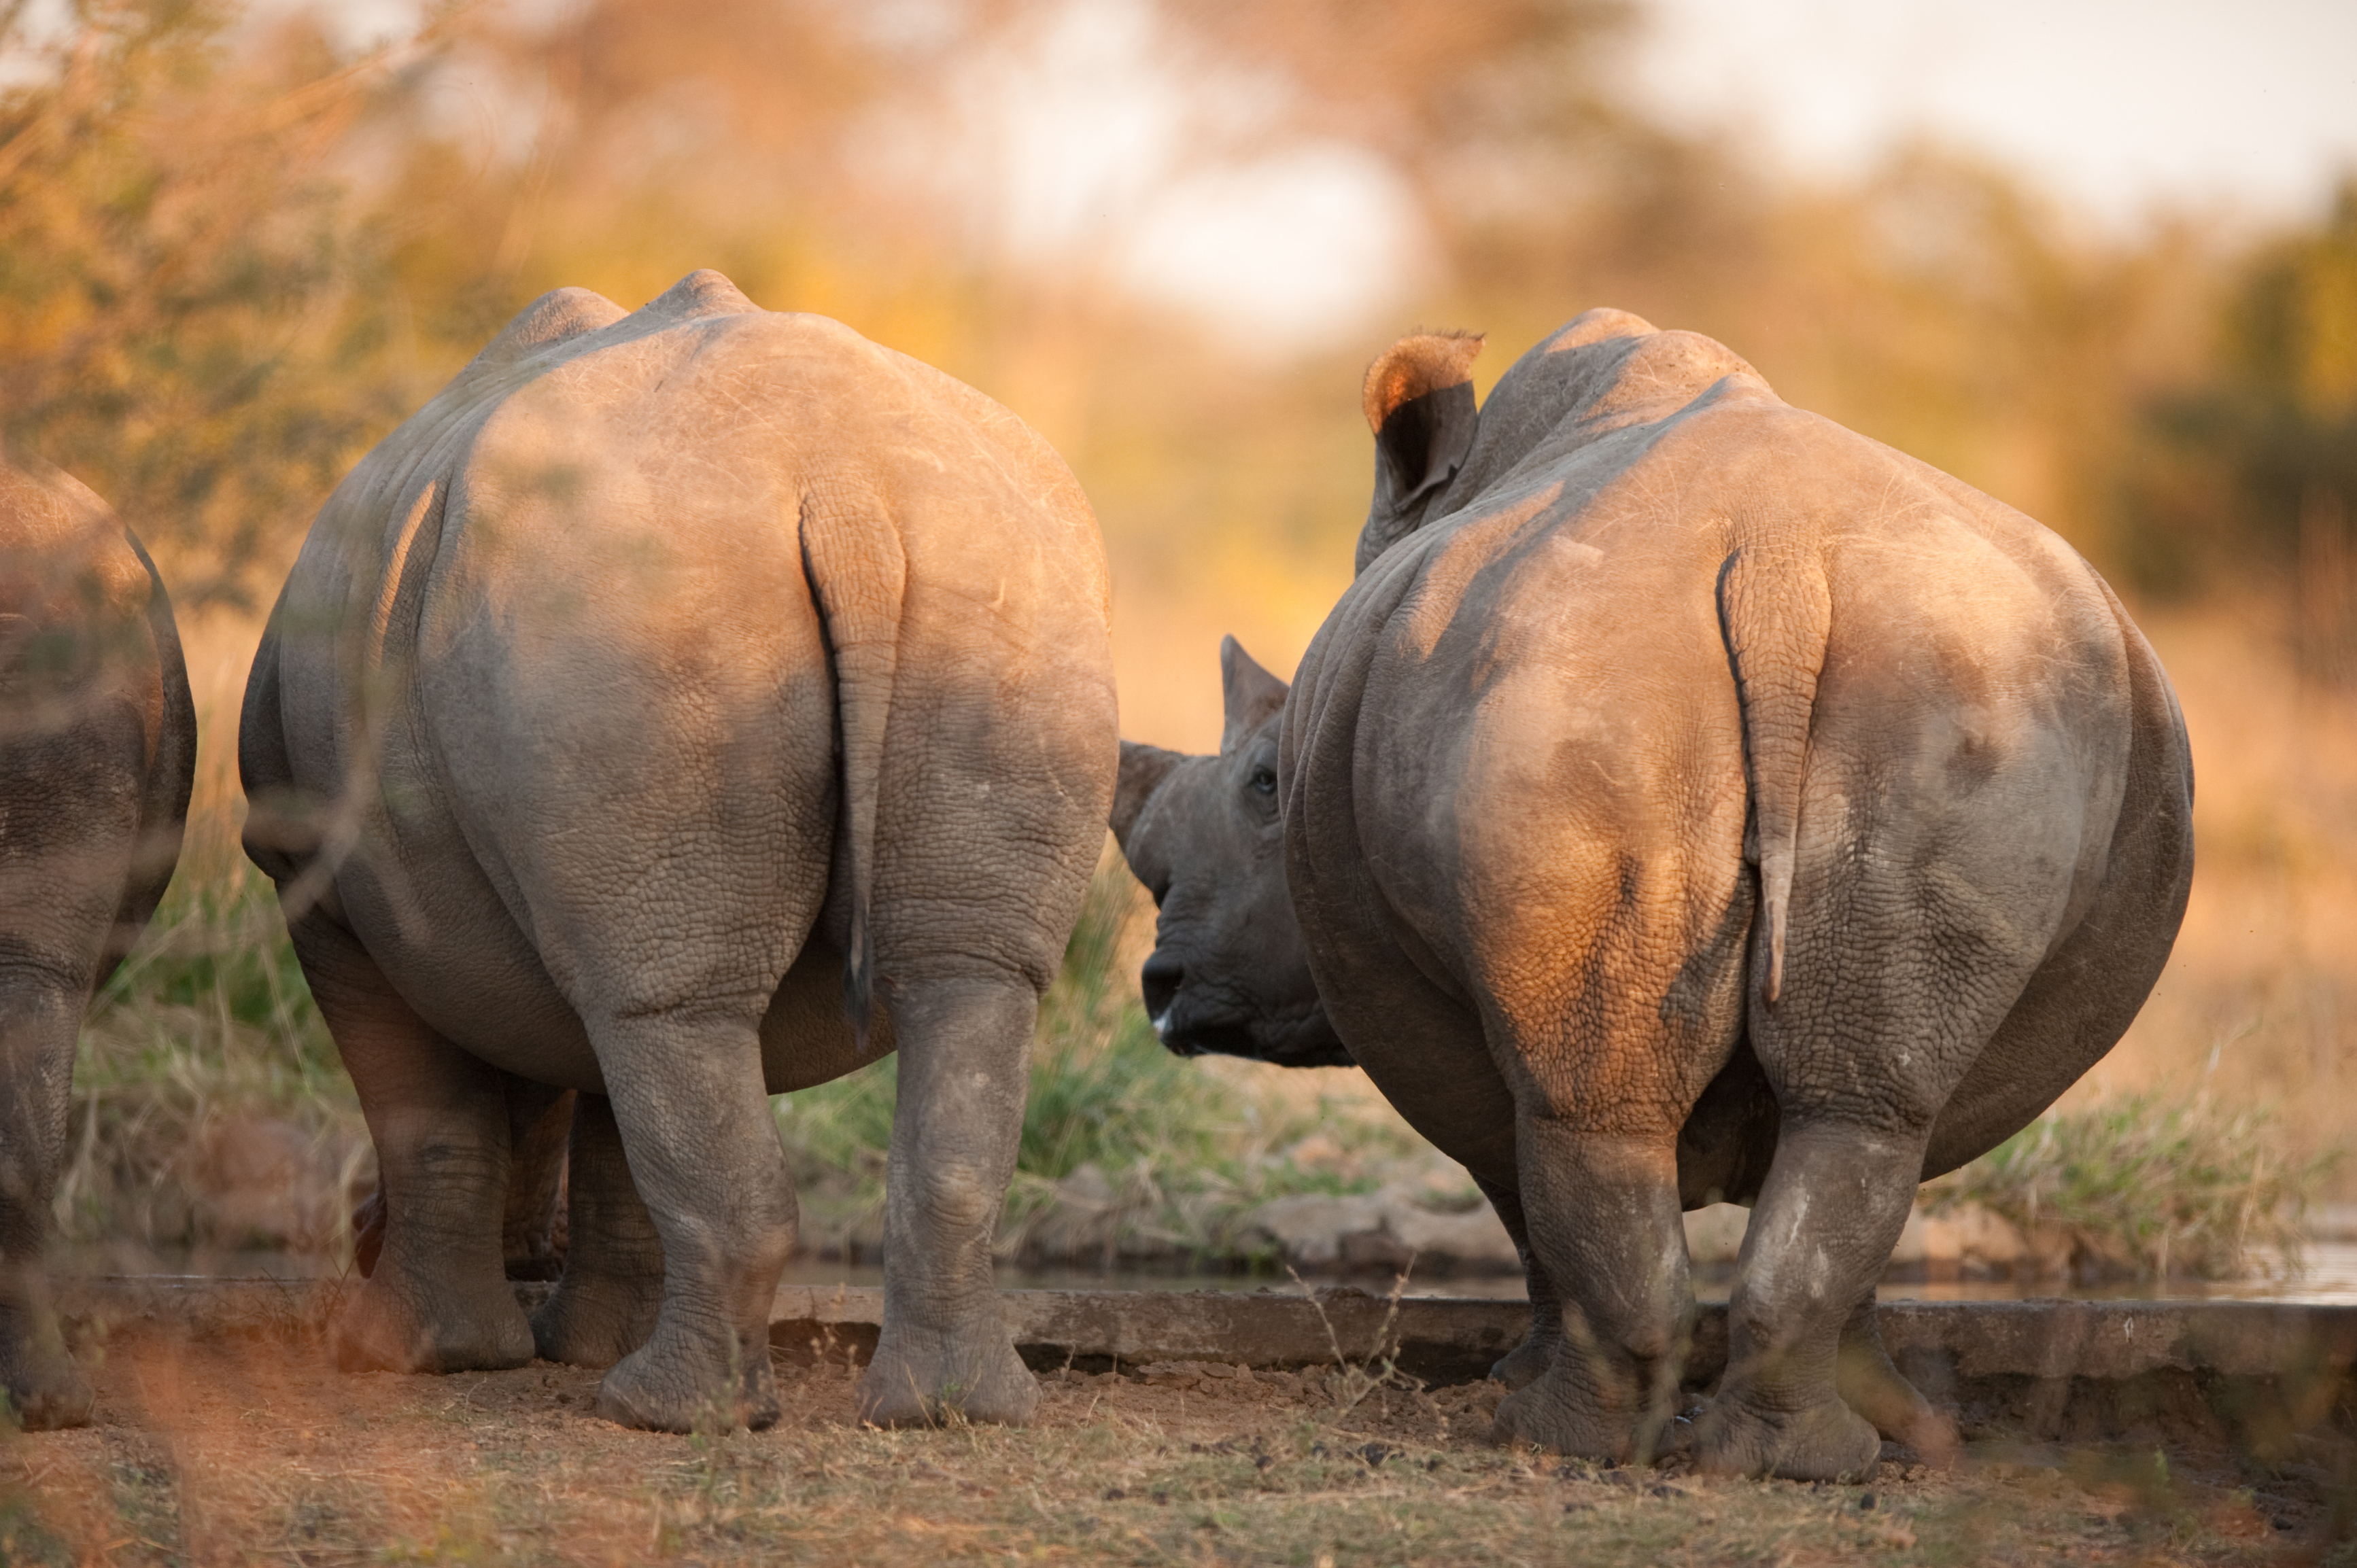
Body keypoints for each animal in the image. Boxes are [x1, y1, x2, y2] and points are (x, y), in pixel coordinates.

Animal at [243, 272, 1117, 1433]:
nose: (358, 1233)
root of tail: (848, 494)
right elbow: (614, 1119)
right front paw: (570, 1341)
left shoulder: (321, 887)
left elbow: (433, 1112)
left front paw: (412, 1356)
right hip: (998, 583)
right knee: (944, 985)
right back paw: (947, 1410)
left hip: (630, 601)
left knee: (667, 1011)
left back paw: (656, 1411)